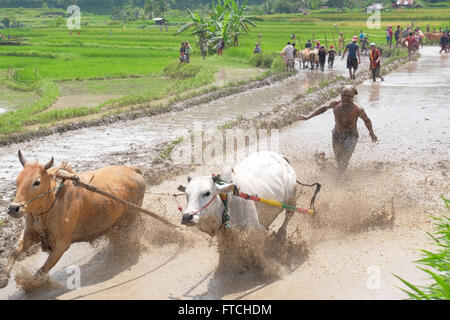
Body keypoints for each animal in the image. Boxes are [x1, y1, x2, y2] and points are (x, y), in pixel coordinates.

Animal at [0, 151, 146, 288]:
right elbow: (15, 250)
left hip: (132, 216)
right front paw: (4, 278)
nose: (13, 208)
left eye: (36, 182)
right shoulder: (30, 233)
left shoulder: (62, 244)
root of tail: (133, 170)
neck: (54, 200)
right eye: (17, 181)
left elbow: (41, 272)